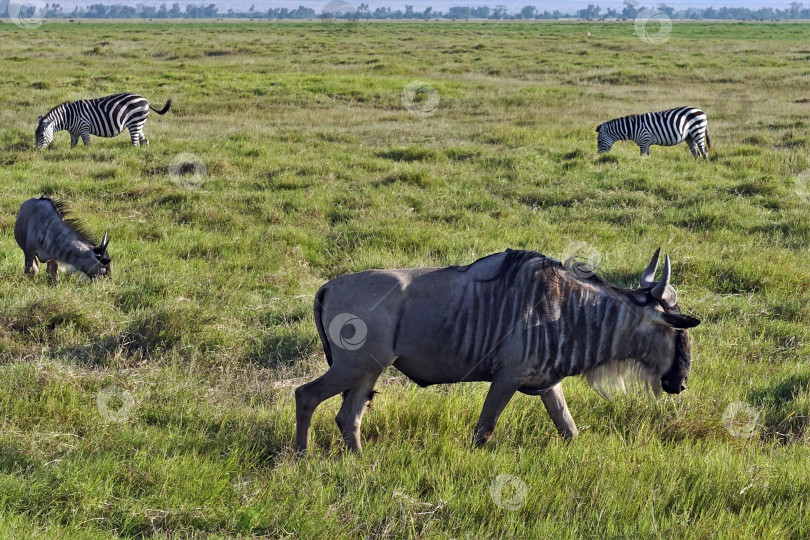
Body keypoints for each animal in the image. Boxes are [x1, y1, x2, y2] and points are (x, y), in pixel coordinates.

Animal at [37, 92, 173, 148]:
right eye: (35, 135)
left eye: (42, 135)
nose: (36, 150)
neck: (69, 117)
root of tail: (145, 100)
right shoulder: (74, 133)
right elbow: (73, 146)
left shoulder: (84, 127)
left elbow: (87, 144)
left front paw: (87, 156)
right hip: (139, 123)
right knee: (144, 140)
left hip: (134, 123)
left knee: (135, 143)